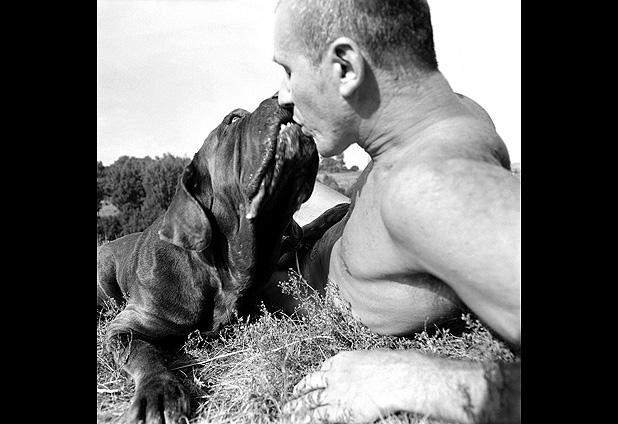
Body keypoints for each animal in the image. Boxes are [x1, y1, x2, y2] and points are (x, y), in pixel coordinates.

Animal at [97, 94, 323, 423]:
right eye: (233, 119)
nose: (284, 99)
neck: (221, 271)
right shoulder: (126, 327)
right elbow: (145, 353)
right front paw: (159, 392)